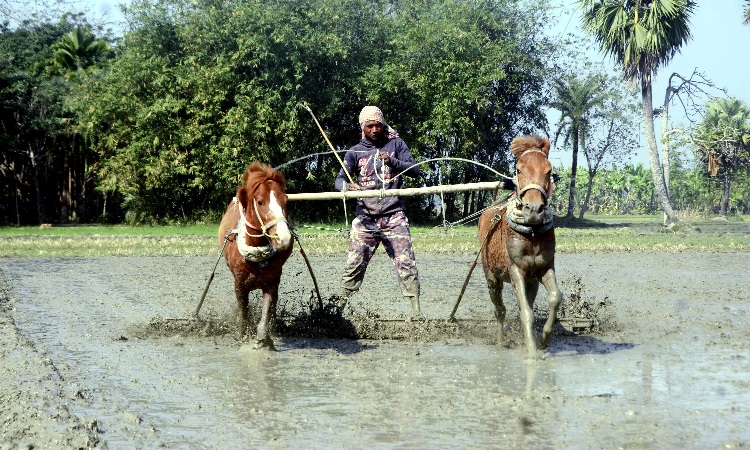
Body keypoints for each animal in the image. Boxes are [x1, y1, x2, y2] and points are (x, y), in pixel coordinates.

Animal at [219, 163, 296, 352]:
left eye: (286, 201)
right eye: (260, 202)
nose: (283, 238)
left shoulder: (271, 282)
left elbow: (267, 311)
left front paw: (263, 339)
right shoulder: (239, 285)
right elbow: (243, 312)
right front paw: (244, 336)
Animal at [478, 134, 560, 358]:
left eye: (549, 170)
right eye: (519, 169)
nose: (534, 210)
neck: (530, 234)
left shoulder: (544, 267)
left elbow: (555, 298)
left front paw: (543, 340)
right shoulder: (516, 270)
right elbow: (526, 312)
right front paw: (531, 352)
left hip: (531, 281)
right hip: (491, 276)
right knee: (499, 309)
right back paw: (501, 340)